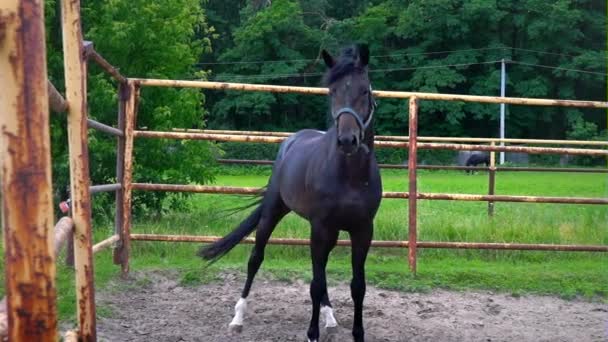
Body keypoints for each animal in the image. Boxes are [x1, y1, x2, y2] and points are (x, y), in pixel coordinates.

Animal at [198, 45, 380, 342]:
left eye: (365, 91)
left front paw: (357, 333)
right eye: (332, 91)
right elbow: (315, 284)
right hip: (274, 212)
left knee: (321, 272)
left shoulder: (363, 230)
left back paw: (330, 318)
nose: (347, 140)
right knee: (256, 259)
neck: (350, 176)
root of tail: (291, 141)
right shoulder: (320, 227)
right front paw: (312, 334)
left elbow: (357, 286)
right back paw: (238, 317)